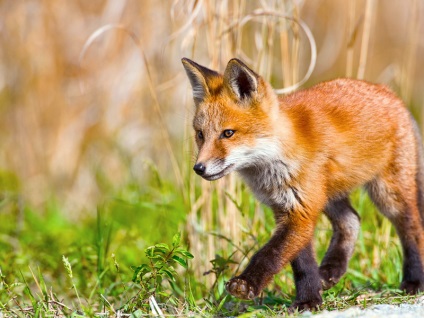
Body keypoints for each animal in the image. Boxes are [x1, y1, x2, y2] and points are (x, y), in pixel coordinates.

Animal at [181, 57, 424, 310]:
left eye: (228, 133)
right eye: (200, 134)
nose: (199, 168)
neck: (276, 159)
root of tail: (390, 94)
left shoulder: (301, 209)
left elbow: (271, 254)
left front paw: (248, 284)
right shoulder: (288, 208)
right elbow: (301, 263)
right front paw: (309, 298)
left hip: (387, 193)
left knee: (413, 229)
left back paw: (414, 281)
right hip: (328, 194)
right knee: (352, 220)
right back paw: (331, 271)